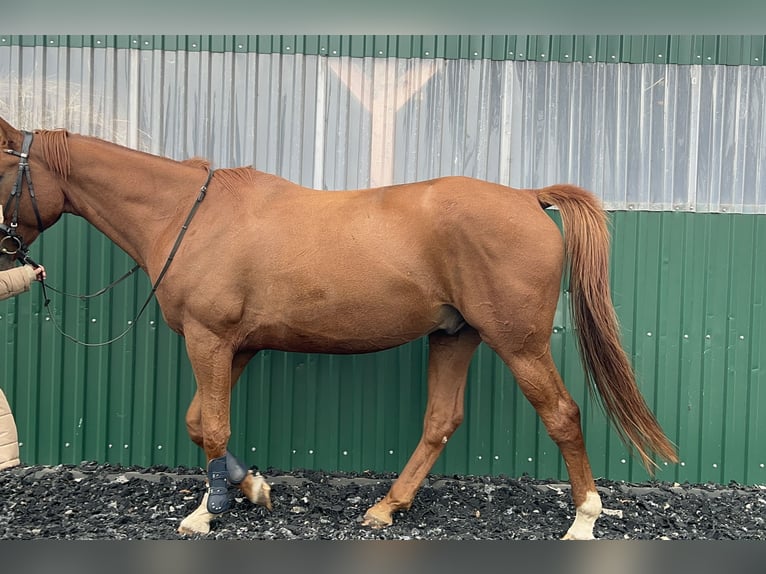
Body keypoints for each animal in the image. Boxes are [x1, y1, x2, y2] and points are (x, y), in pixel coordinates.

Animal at [0, 116, 678, 539]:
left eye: (3, 172)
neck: (189, 215)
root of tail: (528, 196)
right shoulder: (236, 346)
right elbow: (200, 424)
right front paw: (250, 489)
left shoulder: (210, 338)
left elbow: (211, 426)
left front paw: (207, 513)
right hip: (454, 335)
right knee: (441, 420)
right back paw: (386, 507)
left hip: (518, 342)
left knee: (561, 414)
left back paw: (584, 517)